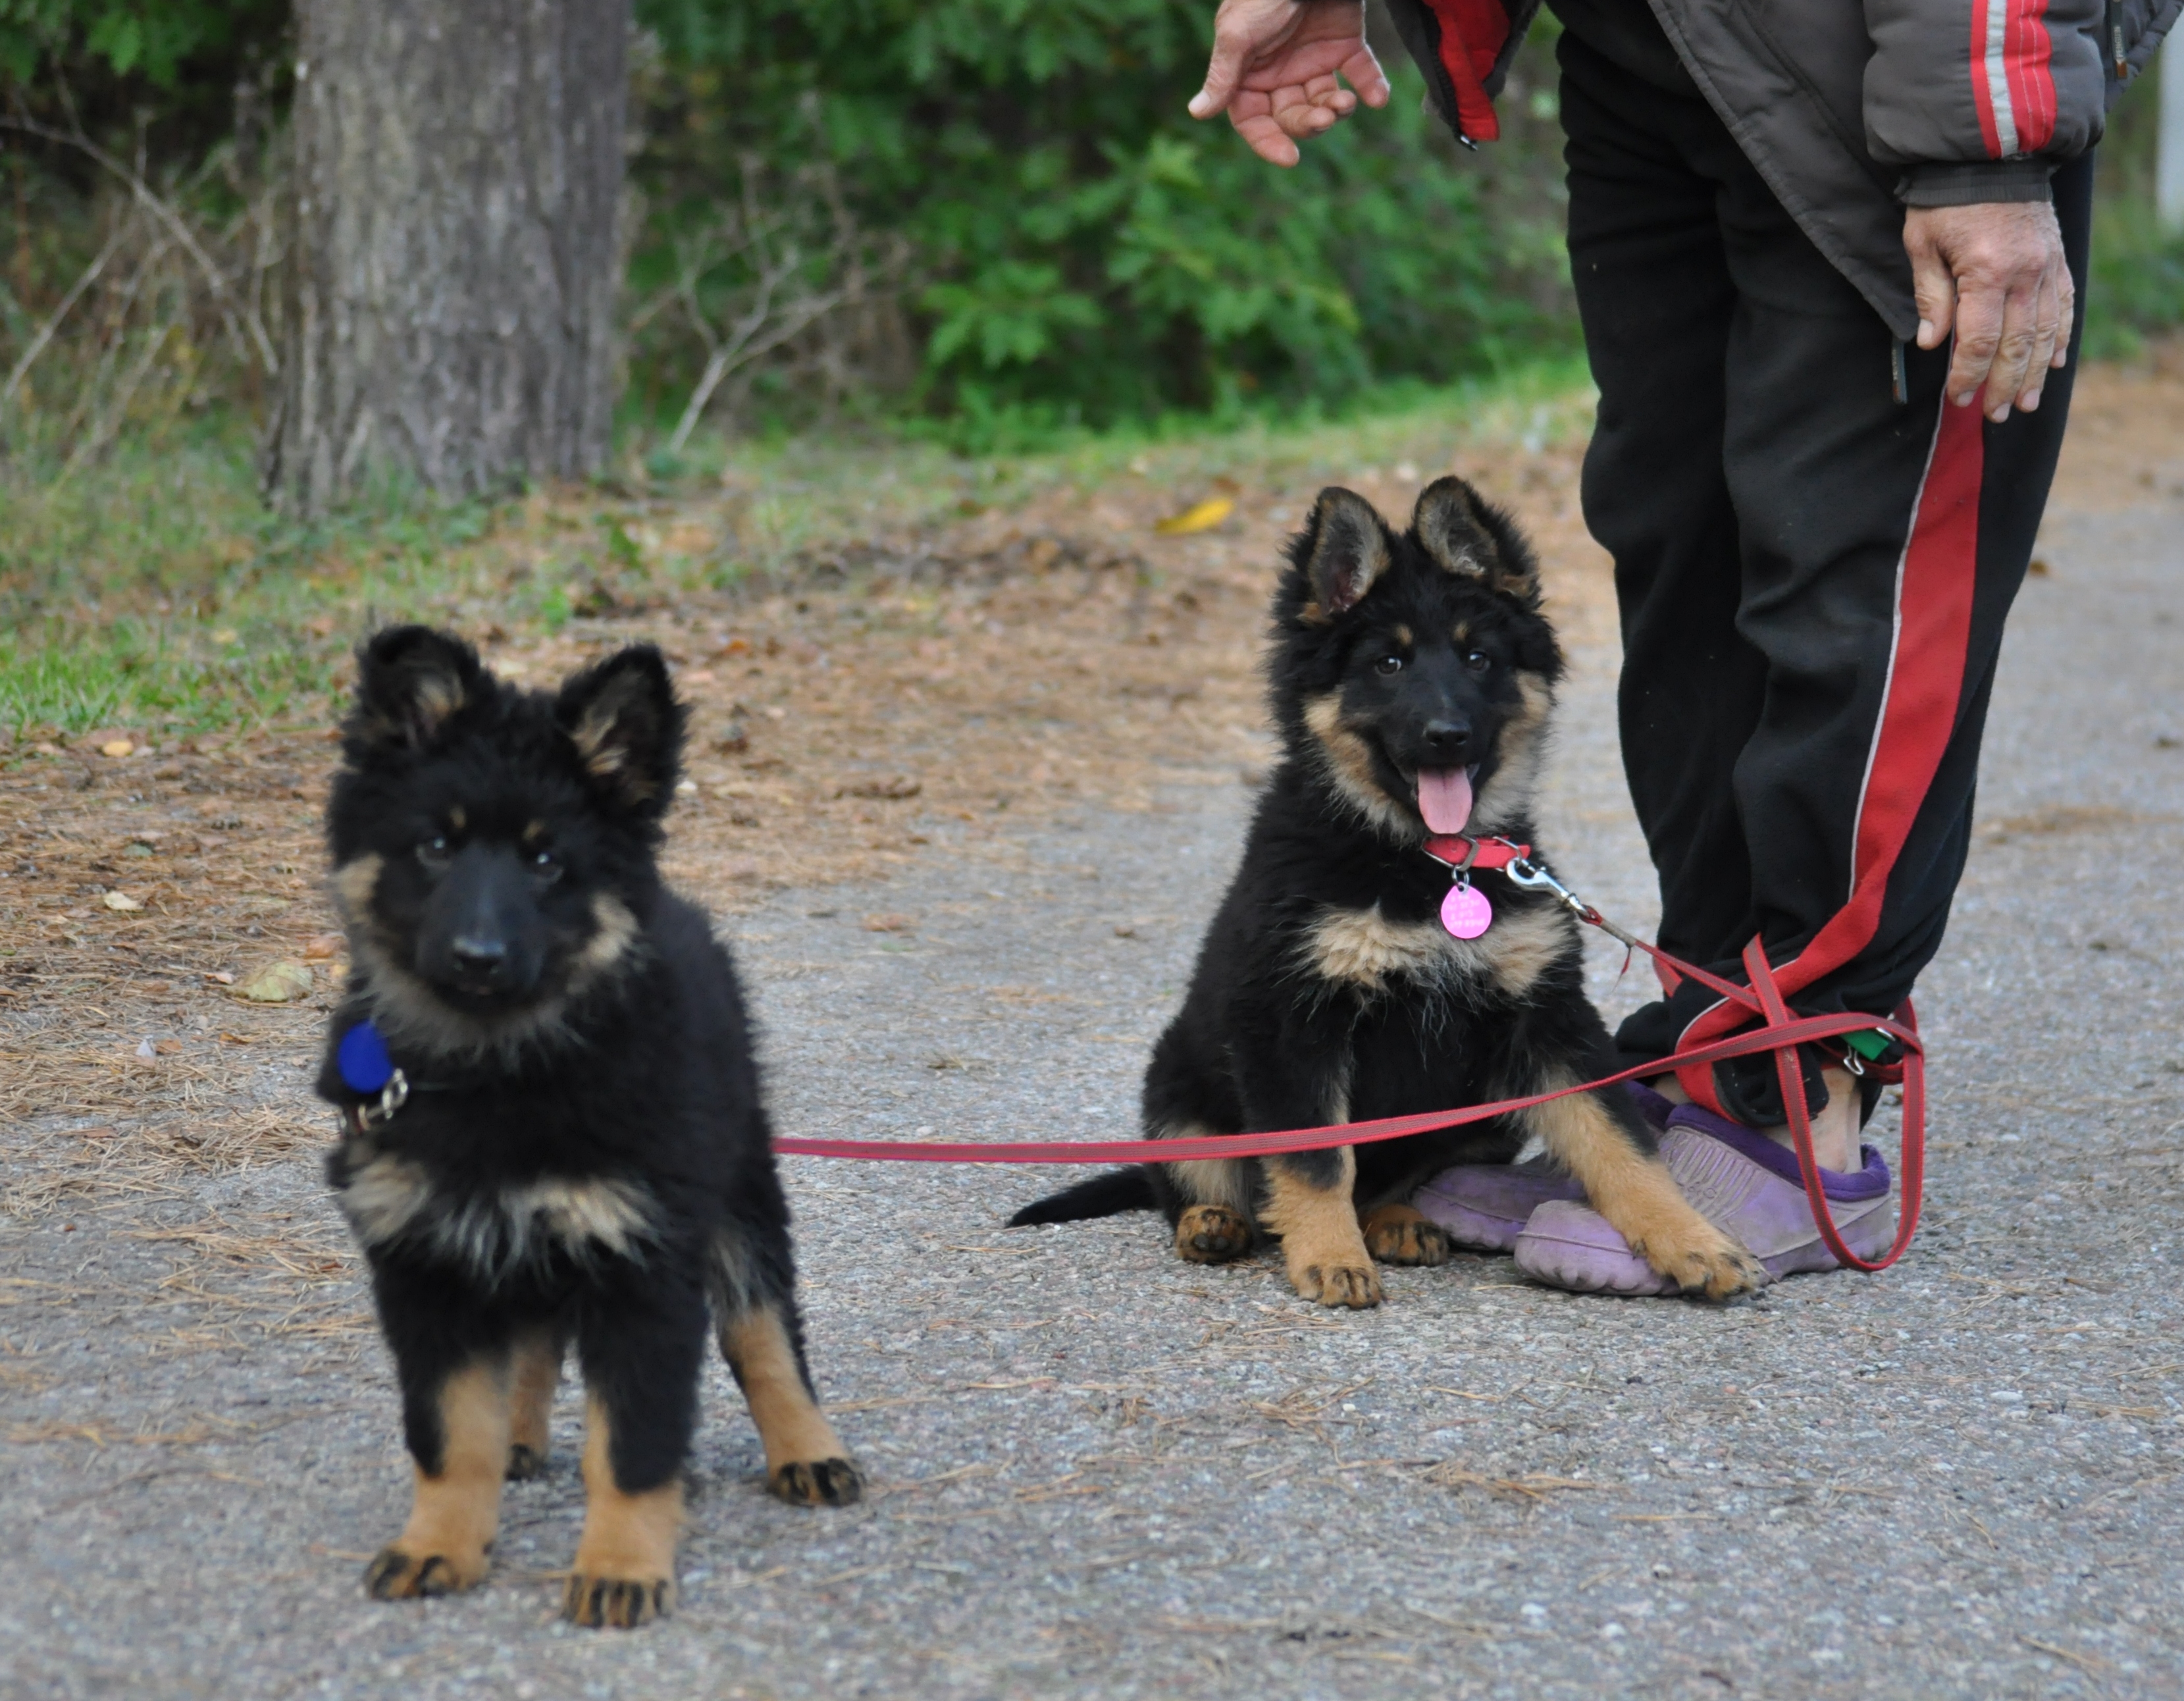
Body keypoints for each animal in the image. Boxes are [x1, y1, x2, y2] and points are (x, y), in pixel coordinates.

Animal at [317, 620, 860, 1624]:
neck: (496, 1072)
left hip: (739, 1193)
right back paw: (521, 1437)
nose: (478, 957)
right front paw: (439, 1542)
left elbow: (634, 1445)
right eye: (436, 845)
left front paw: (620, 1566)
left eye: (543, 860)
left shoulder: (645, 1265)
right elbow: (451, 1432)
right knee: (532, 1342)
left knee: (765, 1331)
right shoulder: (425, 1265)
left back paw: (809, 1449)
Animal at [1013, 484, 1764, 1310]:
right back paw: (1213, 1223)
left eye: (1478, 658)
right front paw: (1329, 1257)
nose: (1448, 734)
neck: (1426, 862)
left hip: (1486, 1115)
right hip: (1178, 1084)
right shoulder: (1291, 1022)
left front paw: (1691, 1240)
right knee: (1192, 1177)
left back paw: (1398, 1221)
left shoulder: (1547, 1018)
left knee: (1392, 1182)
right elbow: (1316, 1160)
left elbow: (1619, 1139)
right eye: (1389, 663)